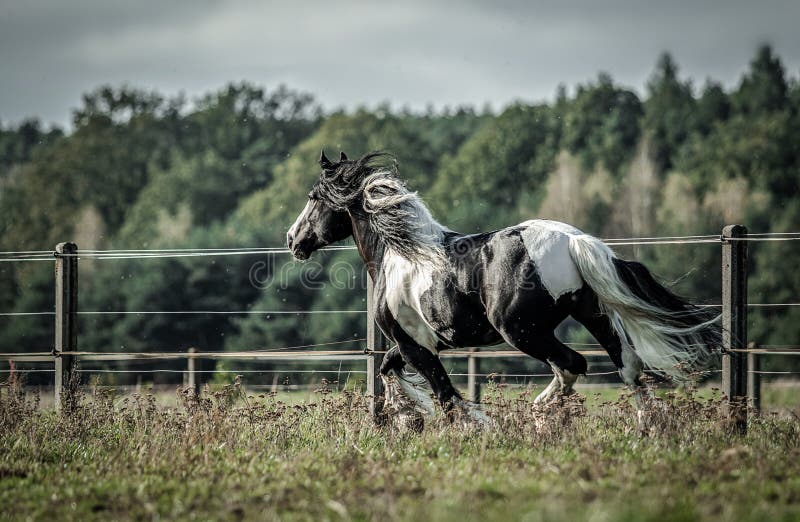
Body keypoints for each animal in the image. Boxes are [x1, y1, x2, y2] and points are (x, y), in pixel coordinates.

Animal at [286, 149, 720, 422]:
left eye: (313, 197)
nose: (293, 240)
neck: (399, 254)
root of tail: (573, 240)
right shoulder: (419, 344)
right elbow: (390, 372)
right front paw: (408, 418)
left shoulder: (415, 345)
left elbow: (445, 397)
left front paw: (469, 429)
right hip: (591, 313)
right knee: (627, 367)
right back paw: (647, 428)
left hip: (520, 330)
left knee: (572, 364)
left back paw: (542, 415)